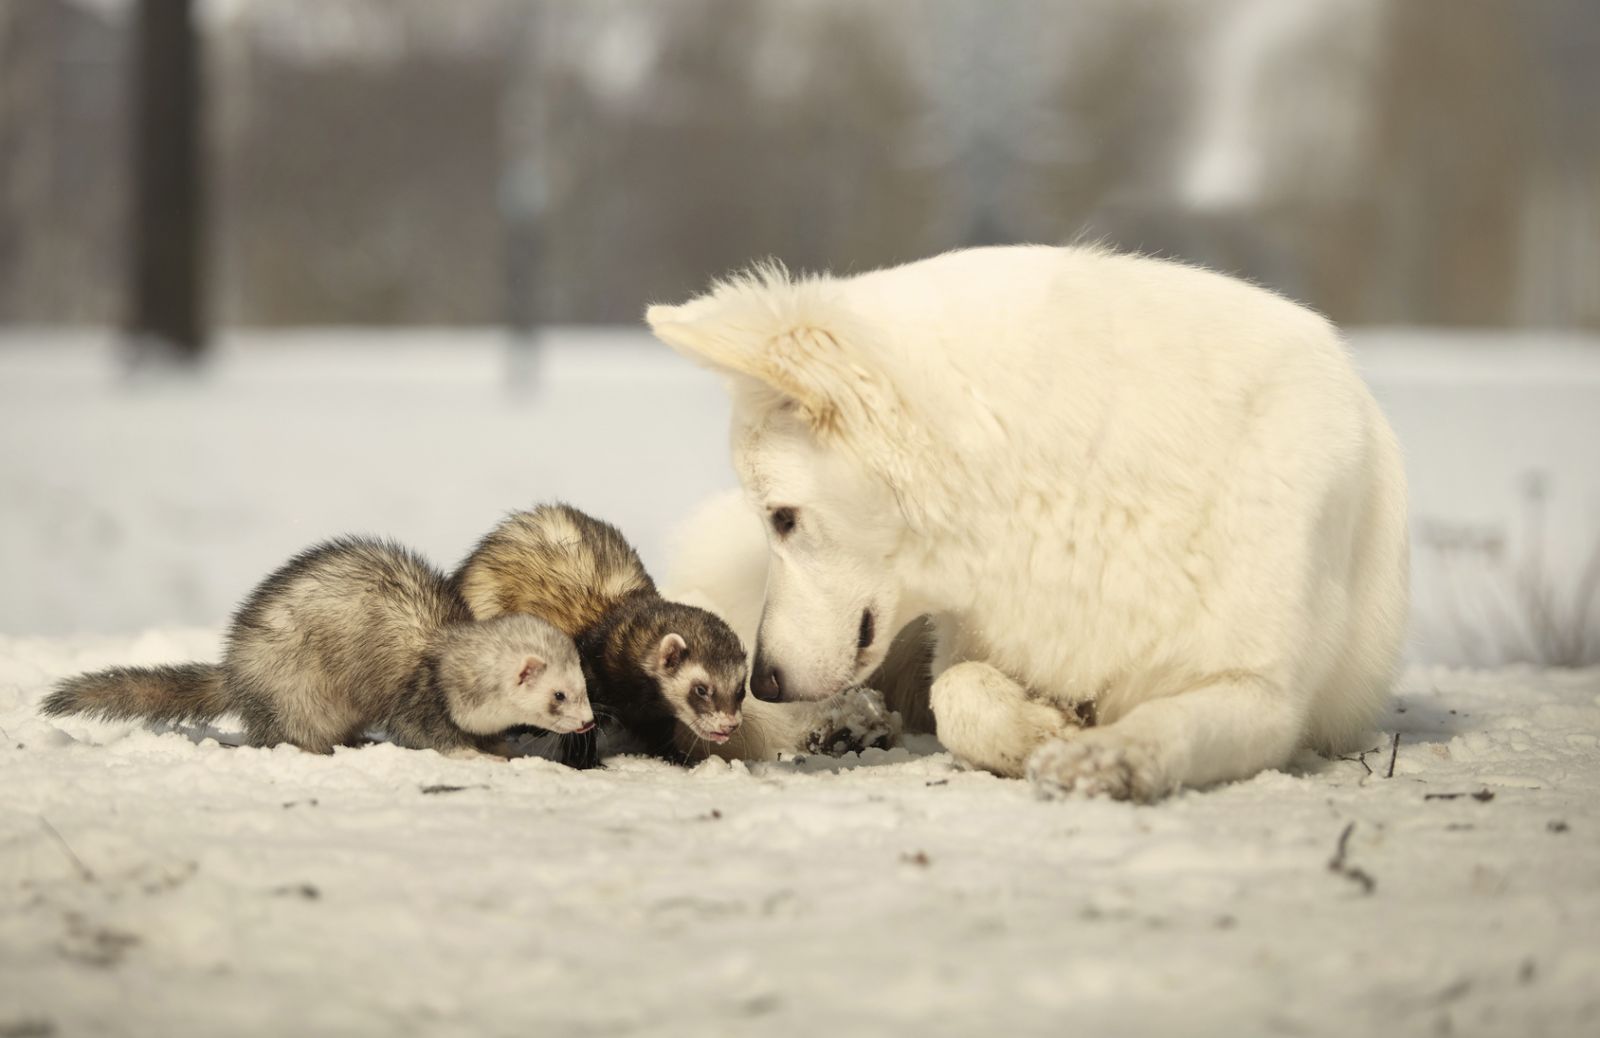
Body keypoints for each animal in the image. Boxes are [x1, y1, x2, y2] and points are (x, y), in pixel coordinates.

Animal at [643, 244, 1408, 802]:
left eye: (782, 517)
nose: (764, 681)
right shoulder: (966, 639)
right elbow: (958, 694)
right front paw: (1040, 731)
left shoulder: (1266, 694)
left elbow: (1169, 719)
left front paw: (1108, 754)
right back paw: (840, 723)